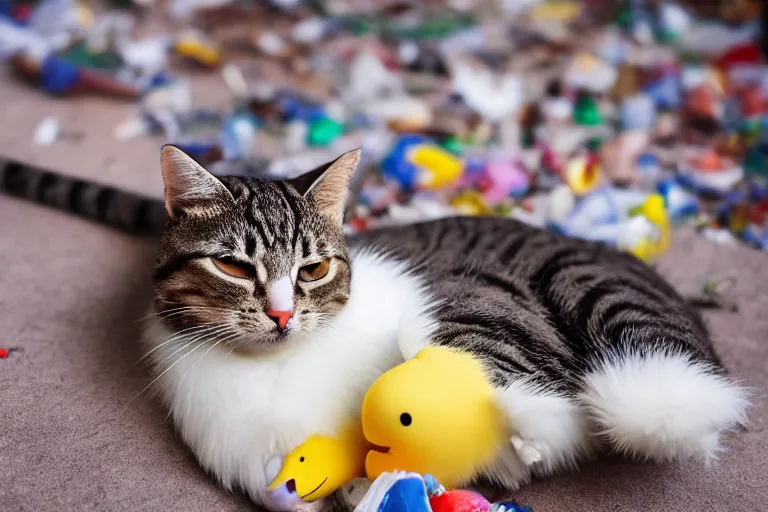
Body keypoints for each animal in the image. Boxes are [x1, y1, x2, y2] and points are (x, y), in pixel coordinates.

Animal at [0, 146, 752, 510]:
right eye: (234, 266)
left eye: (312, 269)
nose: (281, 314)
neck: (279, 363)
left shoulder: (469, 298)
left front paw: (517, 439)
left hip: (561, 287)